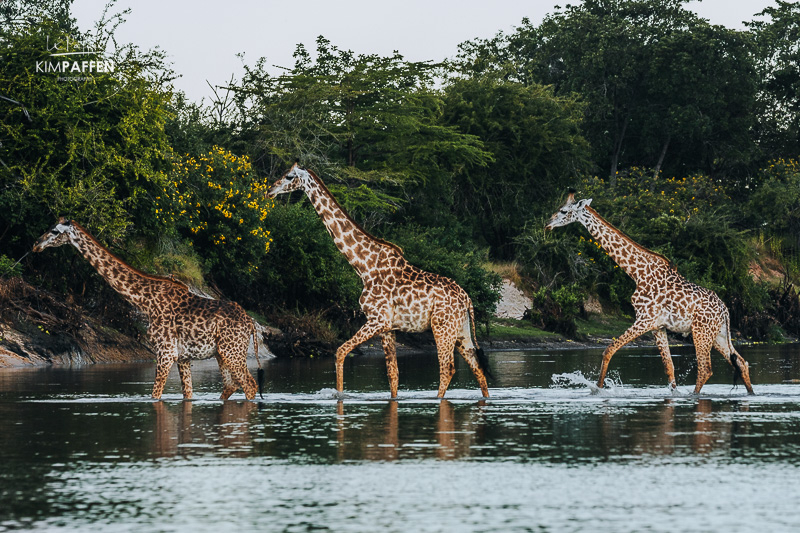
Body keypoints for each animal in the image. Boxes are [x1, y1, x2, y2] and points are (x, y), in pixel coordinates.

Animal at [33, 218, 264, 400]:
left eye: (54, 231)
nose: (36, 244)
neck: (145, 300)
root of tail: (251, 323)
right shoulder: (182, 357)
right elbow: (187, 395)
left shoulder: (165, 352)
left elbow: (154, 396)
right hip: (222, 354)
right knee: (231, 385)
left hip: (232, 351)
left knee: (249, 385)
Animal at [267, 163, 491, 398]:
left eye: (289, 176)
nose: (270, 190)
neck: (364, 266)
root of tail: (467, 299)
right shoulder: (387, 328)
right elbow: (393, 375)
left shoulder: (377, 319)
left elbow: (340, 351)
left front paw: (339, 396)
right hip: (461, 330)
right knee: (478, 368)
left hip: (442, 327)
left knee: (447, 369)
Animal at [545, 192, 754, 395]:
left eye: (563, 211)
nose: (548, 224)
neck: (637, 273)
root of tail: (725, 310)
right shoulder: (658, 326)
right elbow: (669, 368)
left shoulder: (645, 319)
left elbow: (608, 350)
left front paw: (597, 389)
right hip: (717, 334)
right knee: (741, 362)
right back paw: (750, 394)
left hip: (701, 331)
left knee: (705, 369)